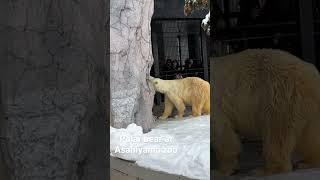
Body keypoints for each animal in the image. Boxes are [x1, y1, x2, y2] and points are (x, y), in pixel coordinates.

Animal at [212, 48, 320, 176]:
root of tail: (312, 75)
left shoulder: (216, 103)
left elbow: (222, 134)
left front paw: (221, 171)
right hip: (304, 104)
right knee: (309, 134)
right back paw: (308, 162)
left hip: (278, 96)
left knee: (276, 134)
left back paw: (264, 170)